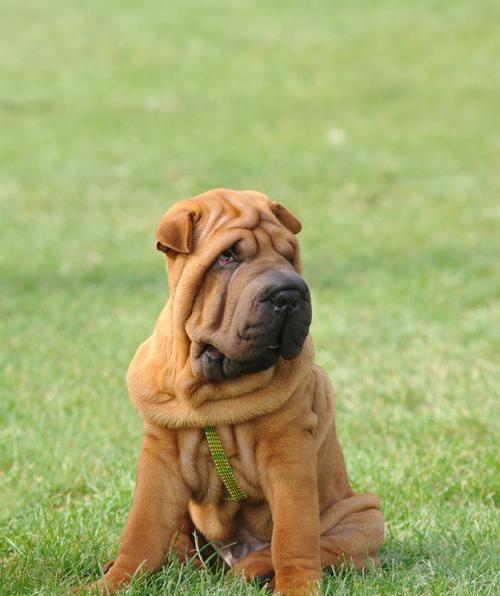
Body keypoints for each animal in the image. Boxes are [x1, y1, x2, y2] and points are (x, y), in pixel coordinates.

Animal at [85, 189, 382, 592]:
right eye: (227, 257)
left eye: (289, 255)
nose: (289, 294)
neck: (212, 390)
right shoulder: (159, 460)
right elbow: (140, 534)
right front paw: (112, 582)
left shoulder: (289, 457)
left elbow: (293, 537)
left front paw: (297, 587)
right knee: (182, 548)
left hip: (364, 513)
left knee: (316, 547)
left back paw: (253, 570)